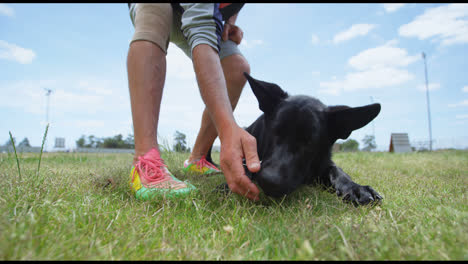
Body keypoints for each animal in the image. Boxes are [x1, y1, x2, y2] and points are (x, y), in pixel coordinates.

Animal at [209, 72, 384, 206]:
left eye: (309, 141)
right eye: (274, 131)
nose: (269, 181)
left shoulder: (323, 163)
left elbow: (337, 170)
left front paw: (356, 188)